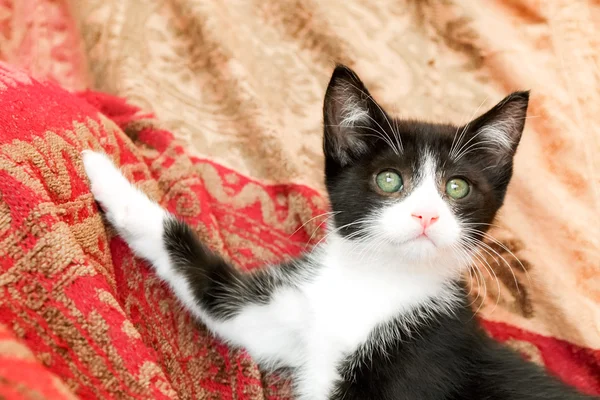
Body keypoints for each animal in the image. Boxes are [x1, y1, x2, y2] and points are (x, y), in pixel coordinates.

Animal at [81, 66, 596, 400]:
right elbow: (212, 289)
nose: (426, 216)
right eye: (389, 179)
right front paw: (99, 164)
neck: (375, 285)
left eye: (457, 187)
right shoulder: (290, 317)